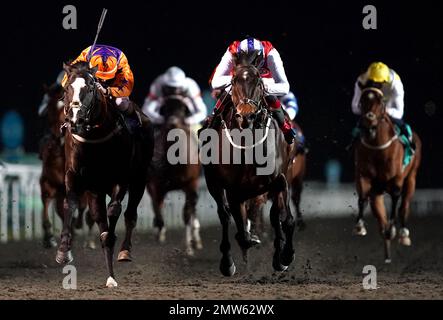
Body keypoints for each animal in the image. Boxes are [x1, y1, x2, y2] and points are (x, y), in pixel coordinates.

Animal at [38, 82, 93, 248]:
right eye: (49, 109)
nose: (60, 134)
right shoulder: (48, 182)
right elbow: (46, 201)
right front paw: (49, 237)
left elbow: (83, 207)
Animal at [56, 61, 153, 286]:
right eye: (67, 88)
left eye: (90, 88)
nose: (75, 118)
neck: (95, 138)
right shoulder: (75, 176)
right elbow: (70, 203)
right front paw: (64, 251)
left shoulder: (120, 179)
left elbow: (114, 212)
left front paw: (113, 243)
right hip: (96, 191)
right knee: (100, 219)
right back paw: (110, 275)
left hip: (139, 180)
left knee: (130, 214)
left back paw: (123, 254)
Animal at [148, 94, 204, 255]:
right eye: (165, 109)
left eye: (183, 110)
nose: (173, 124)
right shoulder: (155, 185)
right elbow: (157, 208)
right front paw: (159, 233)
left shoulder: (190, 184)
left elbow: (186, 213)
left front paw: (189, 247)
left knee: (192, 208)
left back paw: (196, 239)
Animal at [202, 52, 298, 276]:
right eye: (234, 80)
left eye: (259, 81)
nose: (246, 115)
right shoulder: (232, 189)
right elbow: (237, 224)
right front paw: (244, 244)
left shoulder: (280, 180)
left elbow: (286, 219)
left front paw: (285, 256)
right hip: (215, 184)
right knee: (224, 215)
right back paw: (228, 261)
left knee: (274, 215)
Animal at [354, 87, 424, 262]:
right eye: (362, 100)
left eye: (380, 102)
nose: (369, 121)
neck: (378, 148)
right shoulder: (363, 176)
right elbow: (362, 198)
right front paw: (359, 226)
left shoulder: (397, 178)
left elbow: (395, 197)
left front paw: (392, 230)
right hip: (377, 191)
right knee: (380, 218)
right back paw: (386, 249)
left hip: (411, 178)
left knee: (404, 205)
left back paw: (403, 234)